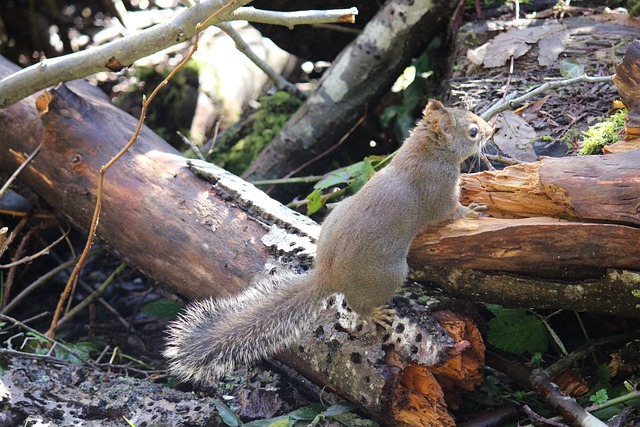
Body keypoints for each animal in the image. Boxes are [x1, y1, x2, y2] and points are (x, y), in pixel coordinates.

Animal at [164, 100, 490, 384]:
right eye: (473, 131)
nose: (491, 129)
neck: (425, 152)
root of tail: (329, 274)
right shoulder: (439, 194)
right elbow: (451, 212)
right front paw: (474, 210)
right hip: (390, 274)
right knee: (358, 304)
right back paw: (375, 313)